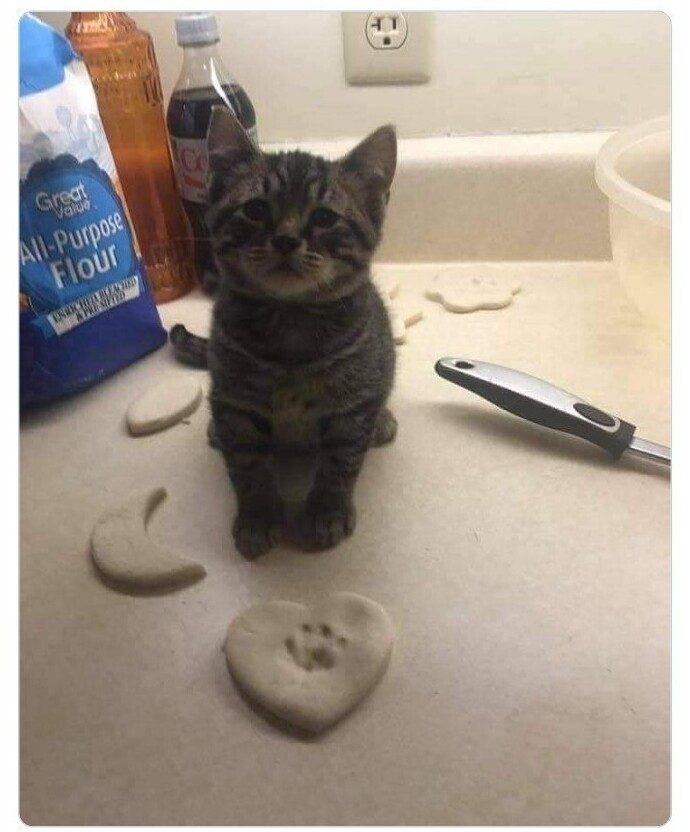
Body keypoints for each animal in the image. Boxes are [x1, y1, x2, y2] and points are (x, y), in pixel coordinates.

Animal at [171, 108, 397, 558]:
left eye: (325, 217)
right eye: (256, 209)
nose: (286, 240)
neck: (291, 321)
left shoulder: (351, 405)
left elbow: (341, 461)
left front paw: (327, 511)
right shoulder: (237, 403)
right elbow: (247, 465)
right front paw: (258, 516)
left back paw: (382, 419)